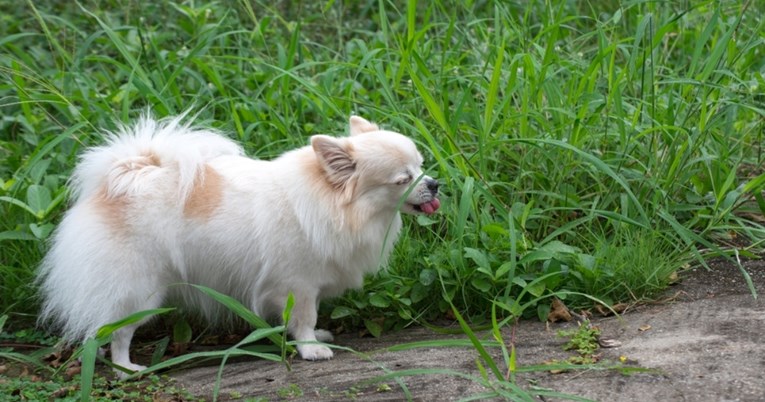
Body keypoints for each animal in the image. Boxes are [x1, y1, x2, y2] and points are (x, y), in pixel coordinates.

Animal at [37, 114, 442, 378]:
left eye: (422, 167)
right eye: (402, 180)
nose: (435, 183)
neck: (332, 203)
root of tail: (121, 178)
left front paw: (311, 338)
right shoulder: (297, 285)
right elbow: (305, 318)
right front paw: (311, 348)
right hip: (138, 291)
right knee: (118, 332)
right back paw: (126, 369)